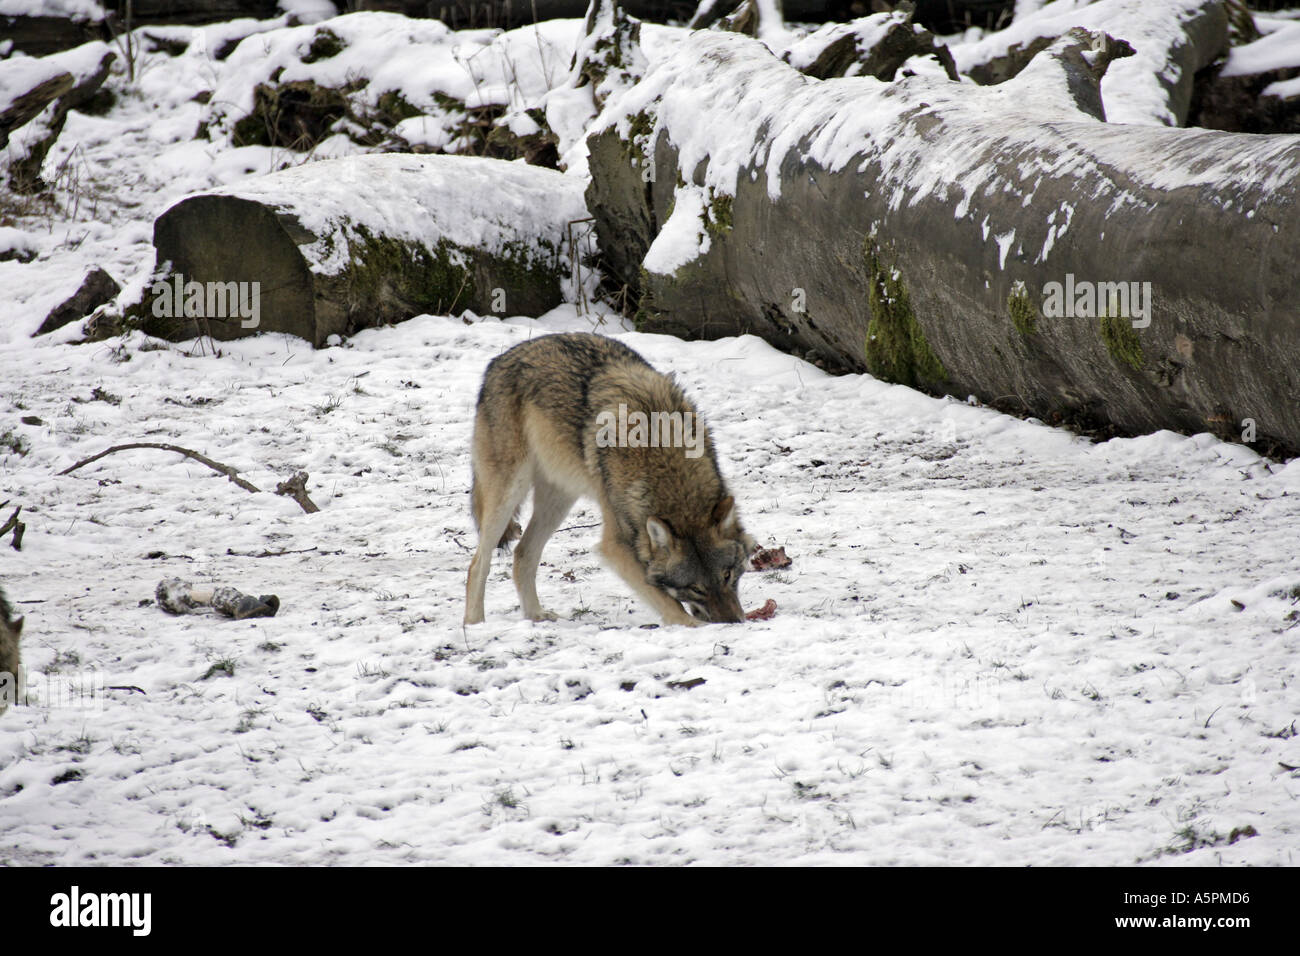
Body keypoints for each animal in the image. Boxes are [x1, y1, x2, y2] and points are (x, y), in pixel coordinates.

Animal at [465, 335, 754, 629]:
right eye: (696, 588)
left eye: (728, 575)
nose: (733, 622)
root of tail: (499, 359)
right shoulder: (615, 545)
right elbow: (666, 601)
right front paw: (695, 626)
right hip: (508, 494)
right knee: (478, 563)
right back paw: (474, 624)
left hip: (559, 501)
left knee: (522, 554)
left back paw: (536, 615)